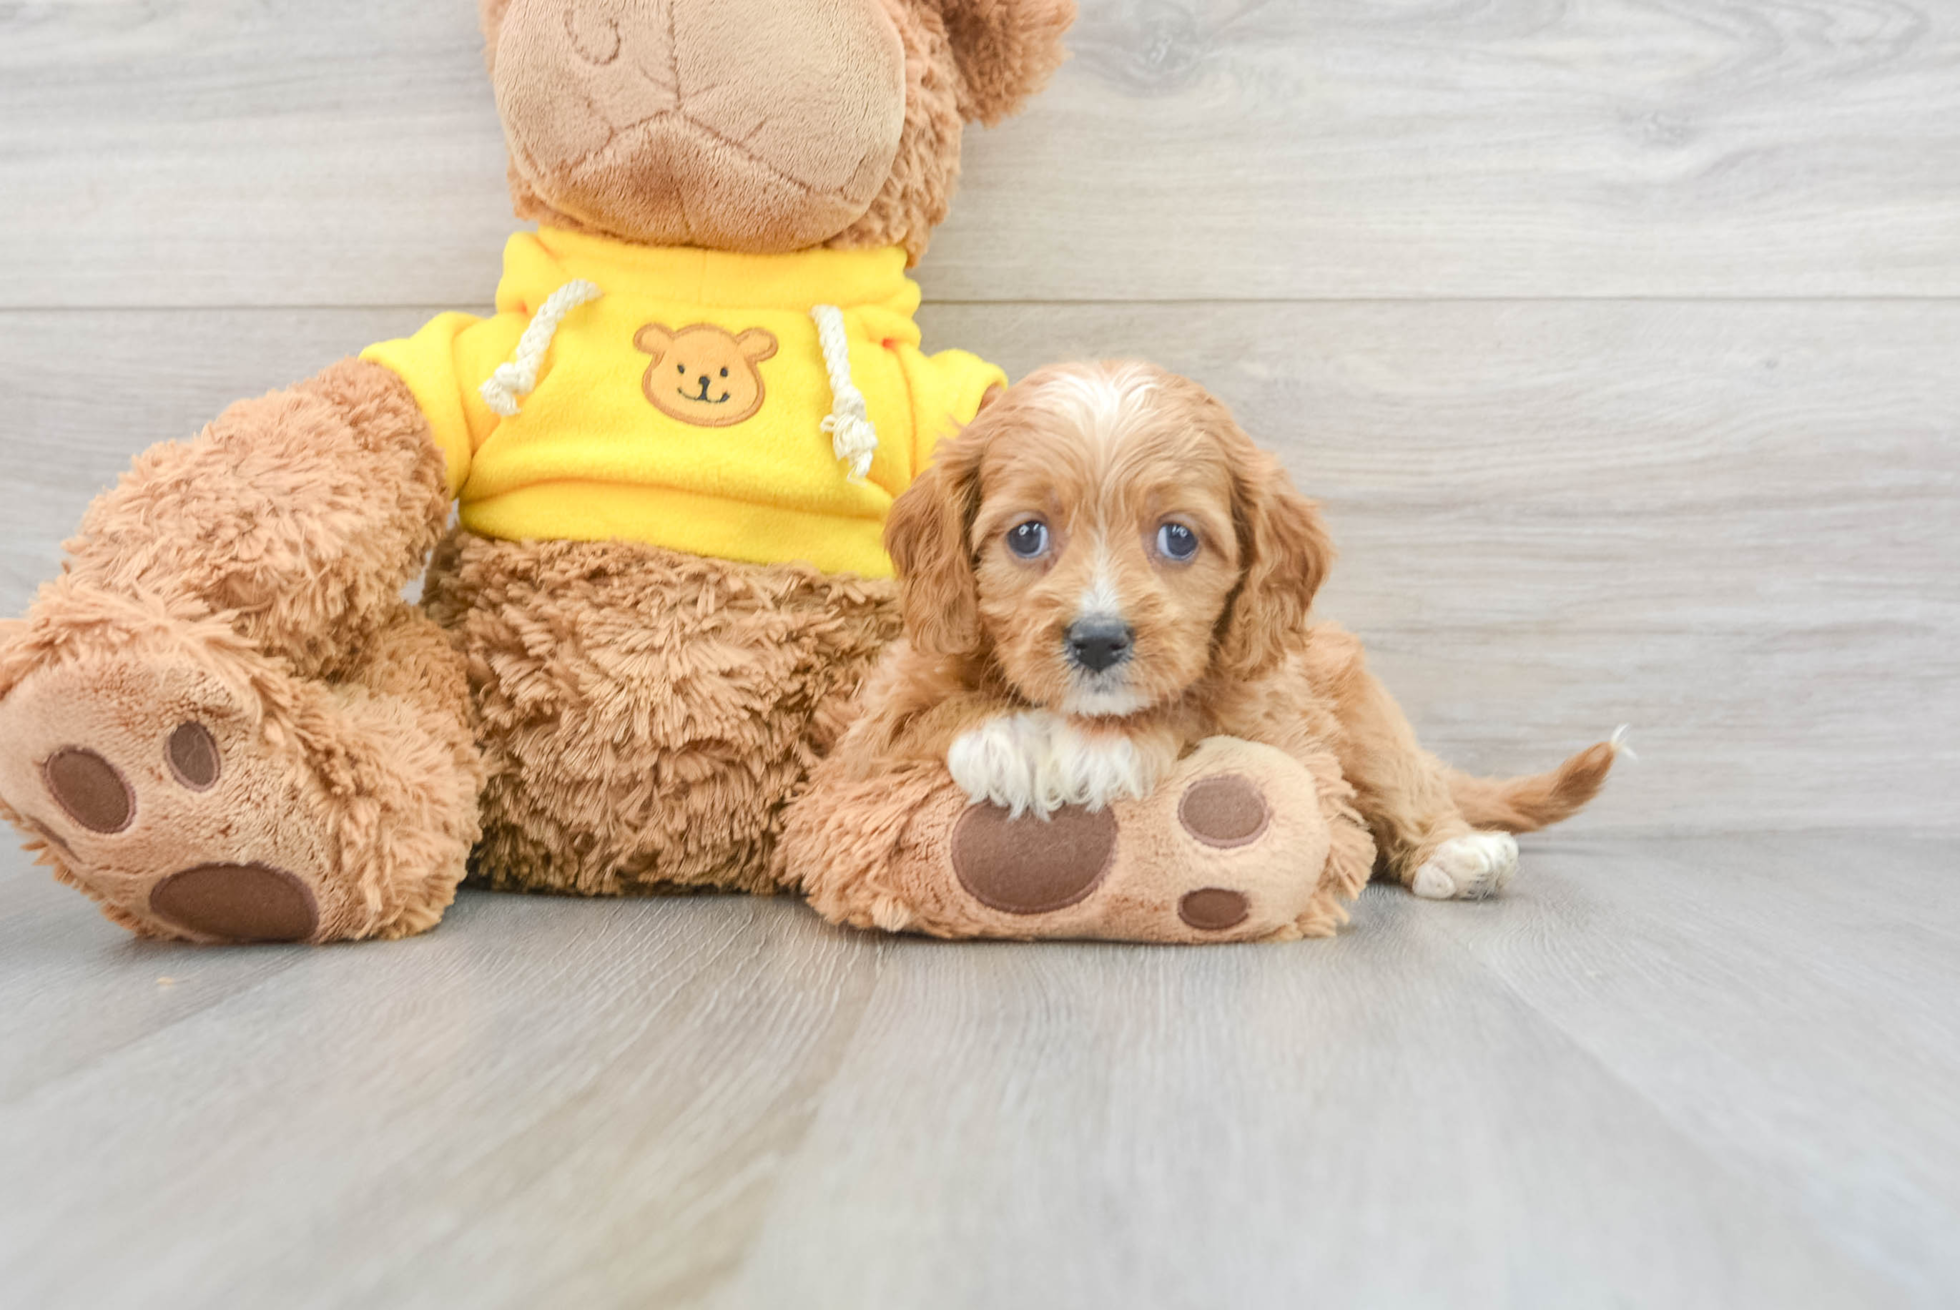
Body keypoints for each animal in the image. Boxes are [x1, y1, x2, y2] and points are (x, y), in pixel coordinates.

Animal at [850, 360, 1615, 902]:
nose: (1097, 641)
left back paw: (1457, 852)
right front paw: (1011, 737)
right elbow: (926, 718)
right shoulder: (876, 720)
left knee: (1408, 786)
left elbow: (1192, 703)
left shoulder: (1272, 715)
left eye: (1179, 538)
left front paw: (1099, 745)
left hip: (1364, 718)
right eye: (1027, 535)